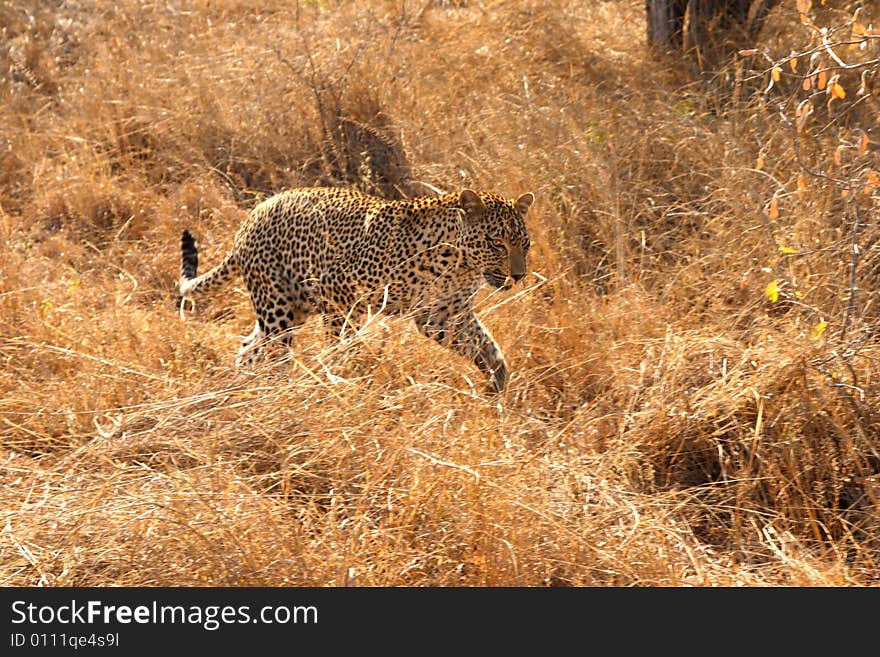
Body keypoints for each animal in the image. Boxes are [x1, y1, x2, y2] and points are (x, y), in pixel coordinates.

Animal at [179, 183, 532, 390]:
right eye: (497, 243)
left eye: (525, 244)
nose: (518, 276)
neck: (459, 265)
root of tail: (253, 214)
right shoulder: (337, 292)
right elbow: (341, 344)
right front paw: (342, 377)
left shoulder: (443, 316)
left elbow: (487, 347)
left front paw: (499, 387)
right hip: (276, 307)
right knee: (272, 349)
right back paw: (272, 387)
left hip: (292, 307)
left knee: (248, 347)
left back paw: (248, 384)